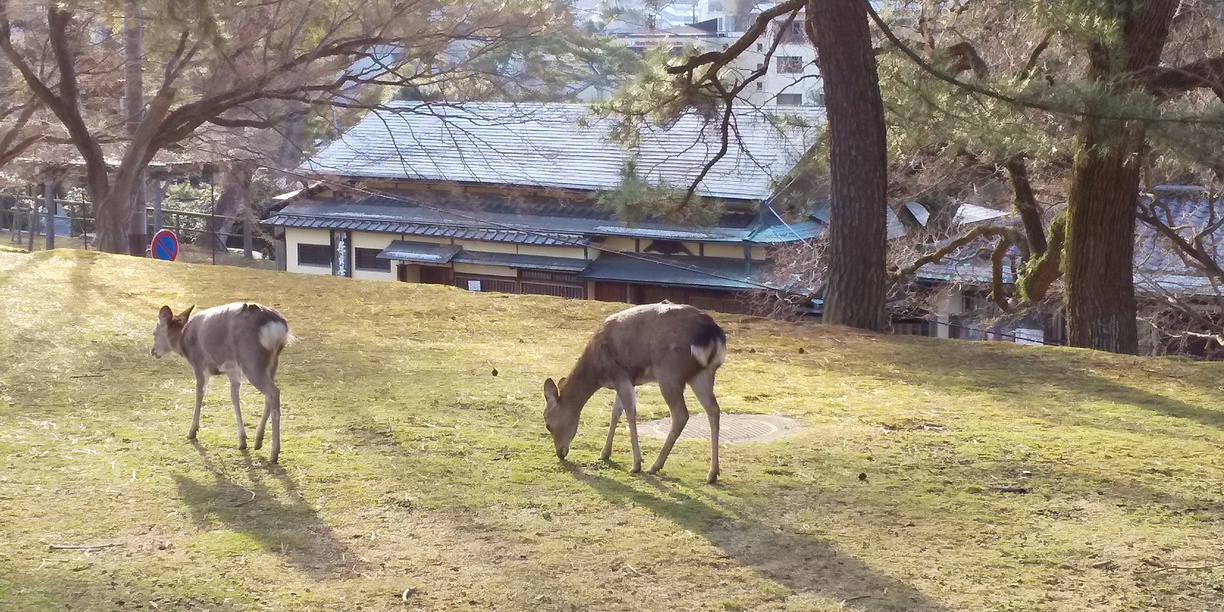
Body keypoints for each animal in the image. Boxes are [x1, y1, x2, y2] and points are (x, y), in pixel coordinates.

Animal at [151, 301, 294, 462]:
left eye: (154, 333)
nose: (153, 351)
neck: (183, 342)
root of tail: (277, 328)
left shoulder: (199, 364)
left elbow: (199, 394)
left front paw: (192, 431)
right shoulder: (232, 370)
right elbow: (234, 397)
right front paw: (242, 441)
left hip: (250, 360)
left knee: (273, 392)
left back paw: (274, 453)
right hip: (272, 362)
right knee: (268, 395)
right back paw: (258, 441)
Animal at [545, 301, 724, 482]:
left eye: (548, 425)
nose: (560, 453)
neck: (597, 372)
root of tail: (713, 334)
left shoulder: (620, 375)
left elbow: (630, 413)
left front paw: (636, 464)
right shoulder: (626, 381)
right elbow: (615, 412)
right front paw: (604, 453)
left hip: (669, 374)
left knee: (681, 414)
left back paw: (655, 466)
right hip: (703, 374)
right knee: (713, 409)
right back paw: (712, 473)